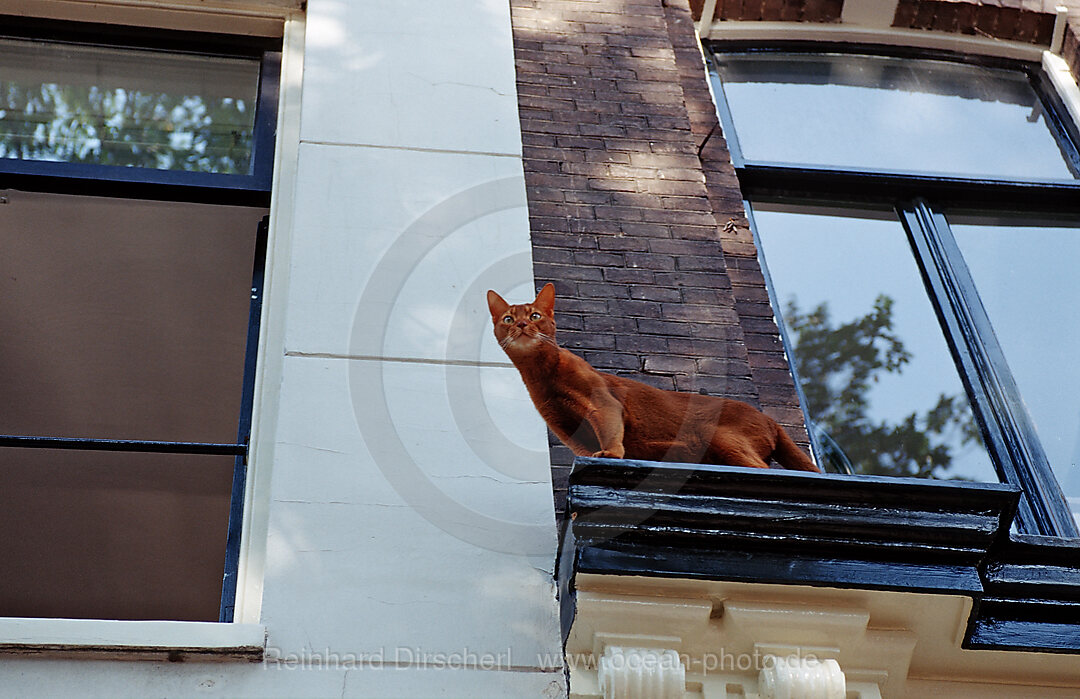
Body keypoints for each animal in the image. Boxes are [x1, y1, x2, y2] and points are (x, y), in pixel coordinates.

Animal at [490, 280, 816, 473]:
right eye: (508, 318)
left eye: (534, 316)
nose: (521, 325)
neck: (542, 374)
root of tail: (770, 420)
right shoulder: (566, 428)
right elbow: (585, 452)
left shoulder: (604, 405)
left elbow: (610, 433)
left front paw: (611, 455)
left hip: (722, 438)